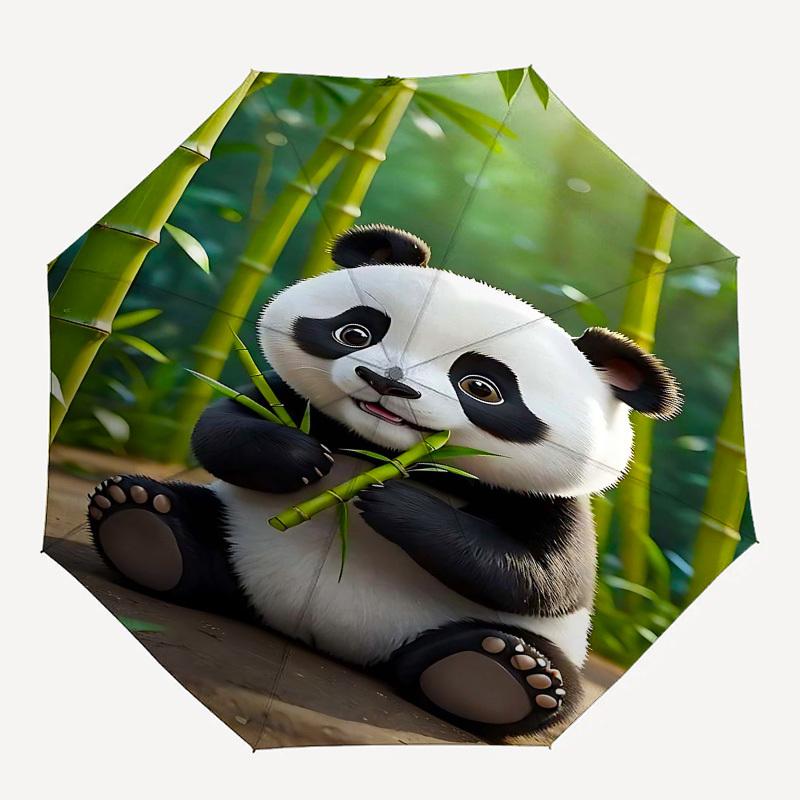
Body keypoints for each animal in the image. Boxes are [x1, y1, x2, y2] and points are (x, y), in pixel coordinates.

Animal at [86, 224, 681, 743]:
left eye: (481, 388)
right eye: (355, 333)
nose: (385, 383)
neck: (384, 450)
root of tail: (322, 637)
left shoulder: (546, 501)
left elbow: (546, 577)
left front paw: (395, 503)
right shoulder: (295, 406)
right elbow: (221, 428)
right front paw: (303, 459)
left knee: (540, 674)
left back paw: (498, 673)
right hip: (239, 538)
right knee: (199, 535)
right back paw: (143, 521)